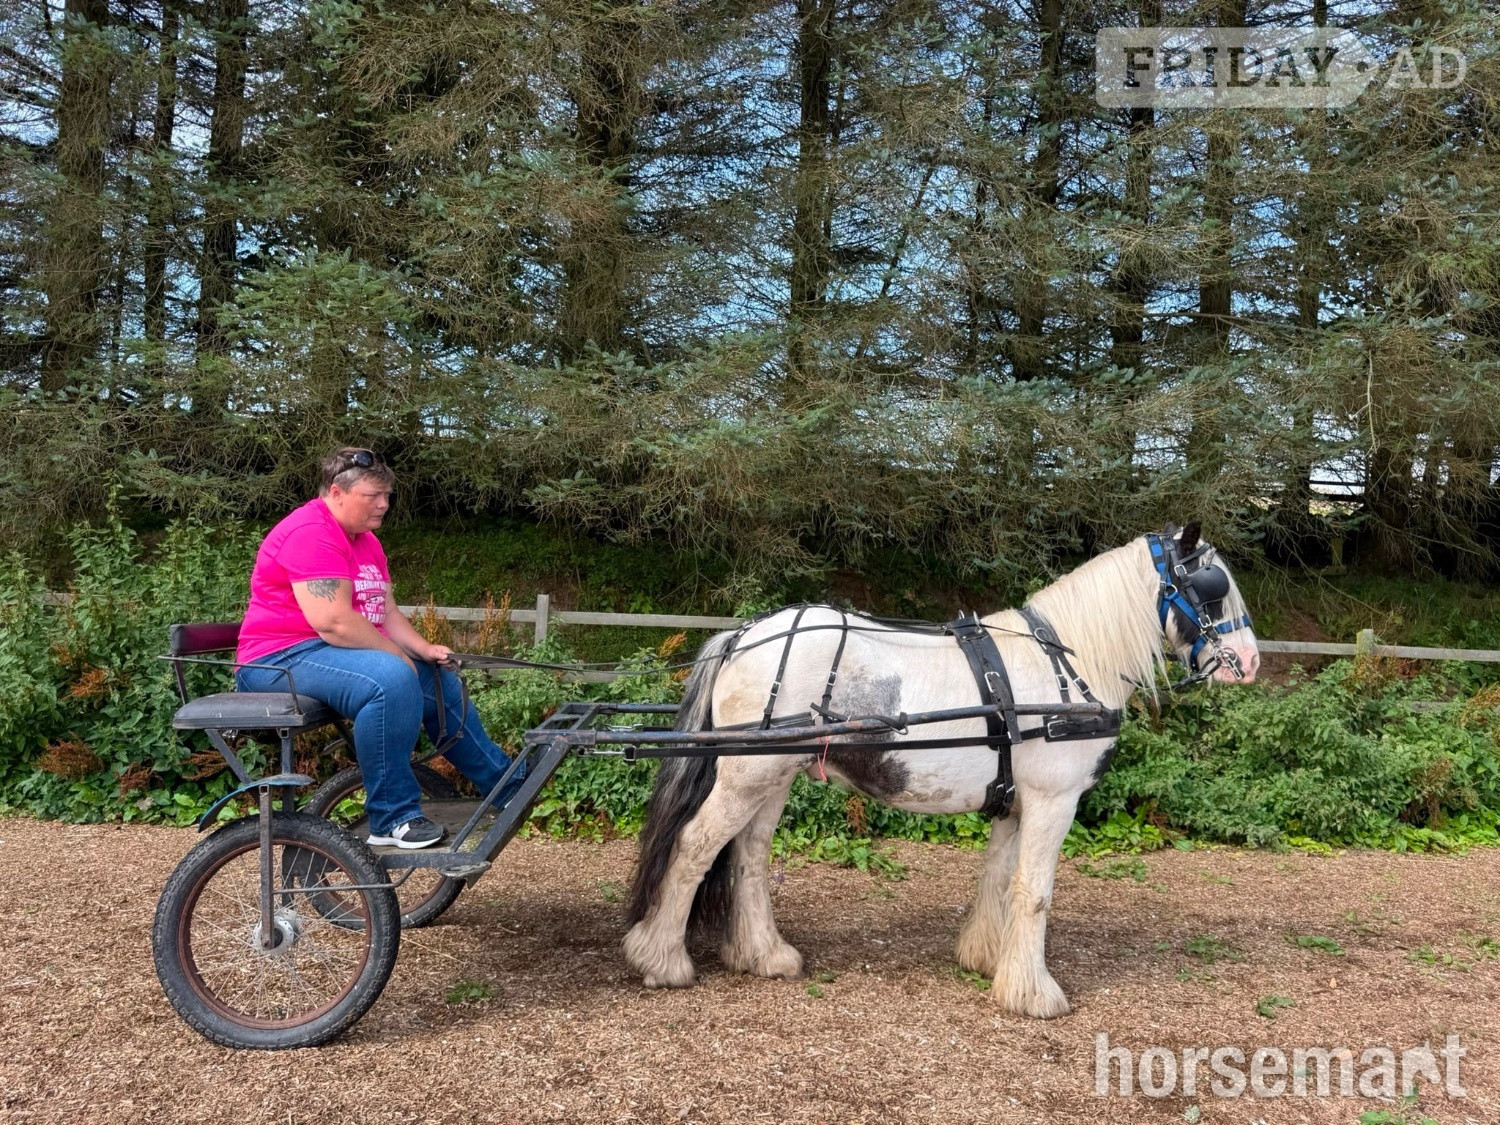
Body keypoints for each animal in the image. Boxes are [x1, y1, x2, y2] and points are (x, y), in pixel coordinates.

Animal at [622, 523, 1260, 1018]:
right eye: (1212, 587)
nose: (1251, 663)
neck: (1065, 666)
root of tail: (744, 634)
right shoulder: (1054, 800)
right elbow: (1035, 892)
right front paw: (1033, 994)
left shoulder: (1016, 802)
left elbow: (1000, 879)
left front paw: (986, 959)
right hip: (747, 776)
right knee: (696, 844)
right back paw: (662, 959)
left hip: (771, 775)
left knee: (749, 854)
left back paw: (764, 955)